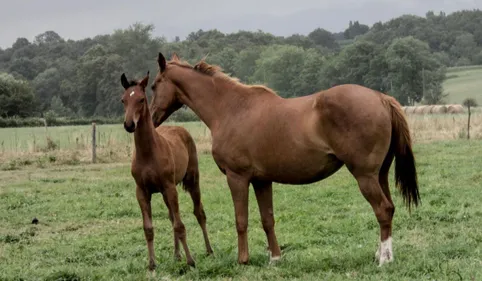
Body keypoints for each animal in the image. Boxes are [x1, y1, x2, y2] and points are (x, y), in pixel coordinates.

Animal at [119, 70, 212, 270]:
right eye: (123, 100)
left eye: (141, 99)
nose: (129, 124)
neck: (148, 153)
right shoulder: (142, 191)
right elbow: (149, 228)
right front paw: (152, 263)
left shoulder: (170, 187)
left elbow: (180, 225)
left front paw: (191, 261)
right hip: (163, 192)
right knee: (171, 217)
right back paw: (176, 255)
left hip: (192, 181)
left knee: (199, 213)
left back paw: (209, 250)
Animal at [149, 53, 420, 266]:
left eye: (154, 85)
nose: (150, 119)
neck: (231, 109)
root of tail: (381, 98)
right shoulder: (261, 181)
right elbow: (267, 219)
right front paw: (275, 258)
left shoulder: (238, 178)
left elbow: (241, 220)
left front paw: (243, 260)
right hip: (379, 175)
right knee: (389, 208)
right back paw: (381, 254)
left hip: (365, 176)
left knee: (383, 210)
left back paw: (384, 259)